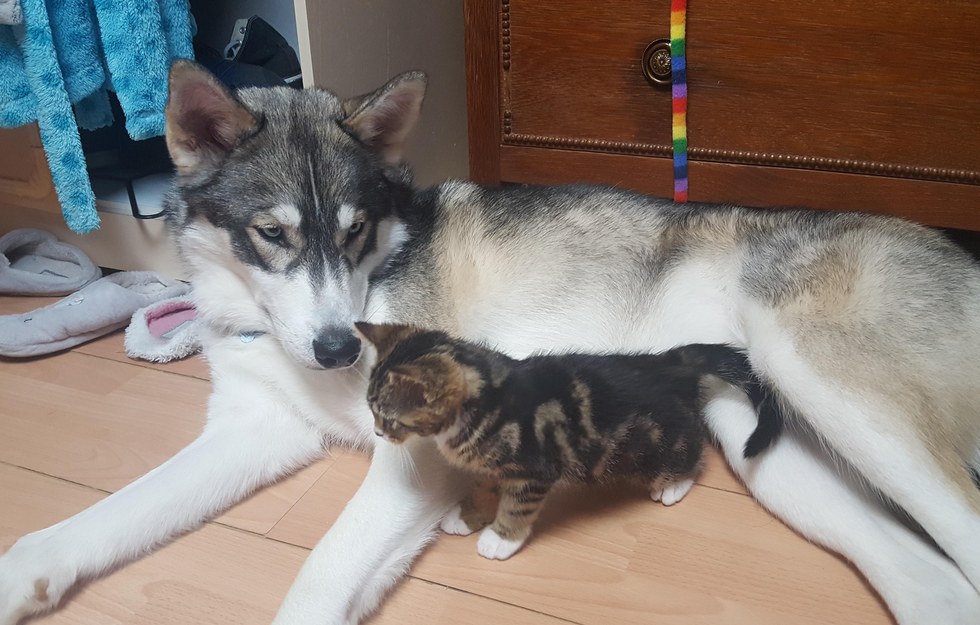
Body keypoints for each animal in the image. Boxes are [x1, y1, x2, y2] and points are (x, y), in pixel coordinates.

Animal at [356, 322, 776, 560]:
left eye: (387, 416)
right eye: (372, 411)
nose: (377, 432)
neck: (487, 398)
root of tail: (668, 362)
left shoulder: (534, 469)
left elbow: (517, 506)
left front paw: (501, 540)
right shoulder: (493, 465)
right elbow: (484, 488)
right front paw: (468, 515)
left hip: (656, 439)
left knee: (691, 443)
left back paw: (674, 484)